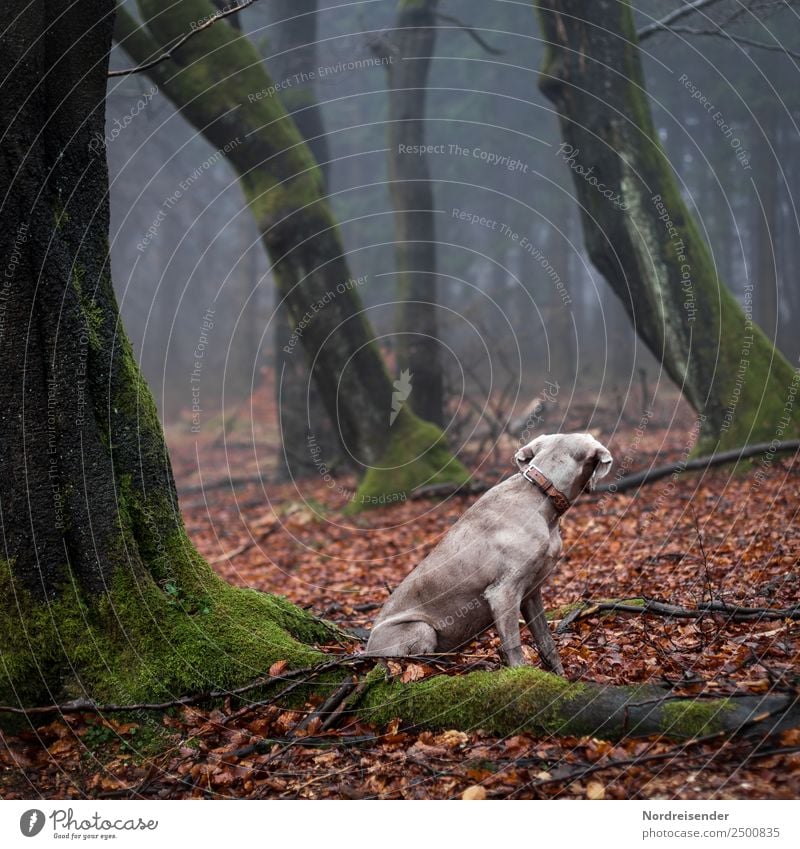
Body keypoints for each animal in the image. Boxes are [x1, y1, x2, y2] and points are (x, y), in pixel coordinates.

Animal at [366, 434, 616, 672]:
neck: (540, 495)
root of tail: (367, 653)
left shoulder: (531, 592)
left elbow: (547, 643)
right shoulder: (502, 592)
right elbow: (515, 651)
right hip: (420, 628)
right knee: (421, 662)